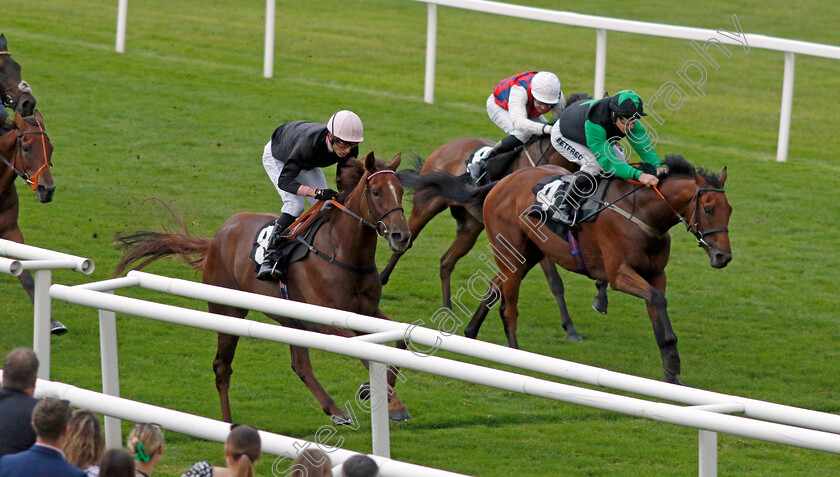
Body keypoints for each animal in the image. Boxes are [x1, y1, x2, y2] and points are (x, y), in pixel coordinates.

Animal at [1, 111, 66, 334]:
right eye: (26, 148)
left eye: (51, 148)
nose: (47, 189)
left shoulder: (11, 232)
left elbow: (28, 278)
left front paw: (52, 322)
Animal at [113, 152, 412, 424]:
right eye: (376, 192)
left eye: (401, 191)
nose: (402, 236)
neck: (344, 254)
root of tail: (215, 240)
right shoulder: (328, 321)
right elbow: (368, 355)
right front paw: (393, 403)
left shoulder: (367, 312)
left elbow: (400, 341)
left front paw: (371, 390)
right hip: (227, 311)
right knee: (222, 366)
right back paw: (227, 423)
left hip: (291, 320)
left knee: (300, 365)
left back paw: (336, 410)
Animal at [400, 156, 728, 384]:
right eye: (708, 208)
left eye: (730, 211)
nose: (723, 256)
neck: (643, 214)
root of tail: (500, 183)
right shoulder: (619, 274)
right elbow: (656, 300)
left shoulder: (656, 275)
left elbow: (659, 314)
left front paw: (672, 371)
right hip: (510, 250)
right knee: (508, 306)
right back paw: (514, 354)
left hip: (527, 254)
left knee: (495, 286)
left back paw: (471, 333)